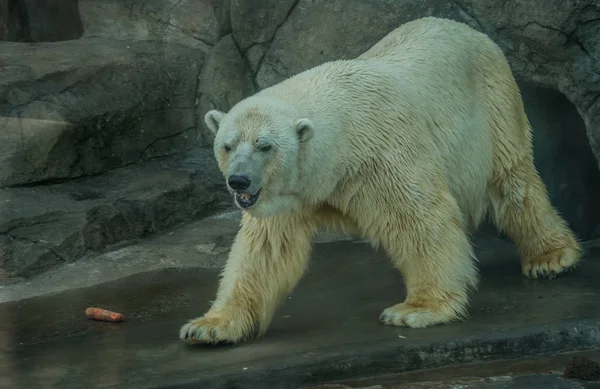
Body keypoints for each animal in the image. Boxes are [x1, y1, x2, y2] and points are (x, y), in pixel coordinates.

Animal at [178, 15, 580, 342]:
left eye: (265, 146)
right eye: (227, 145)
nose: (239, 181)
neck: (340, 144)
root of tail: (467, 29)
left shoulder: (381, 154)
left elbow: (419, 218)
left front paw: (417, 309)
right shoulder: (291, 192)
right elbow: (264, 250)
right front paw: (209, 326)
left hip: (492, 103)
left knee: (512, 181)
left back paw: (550, 257)